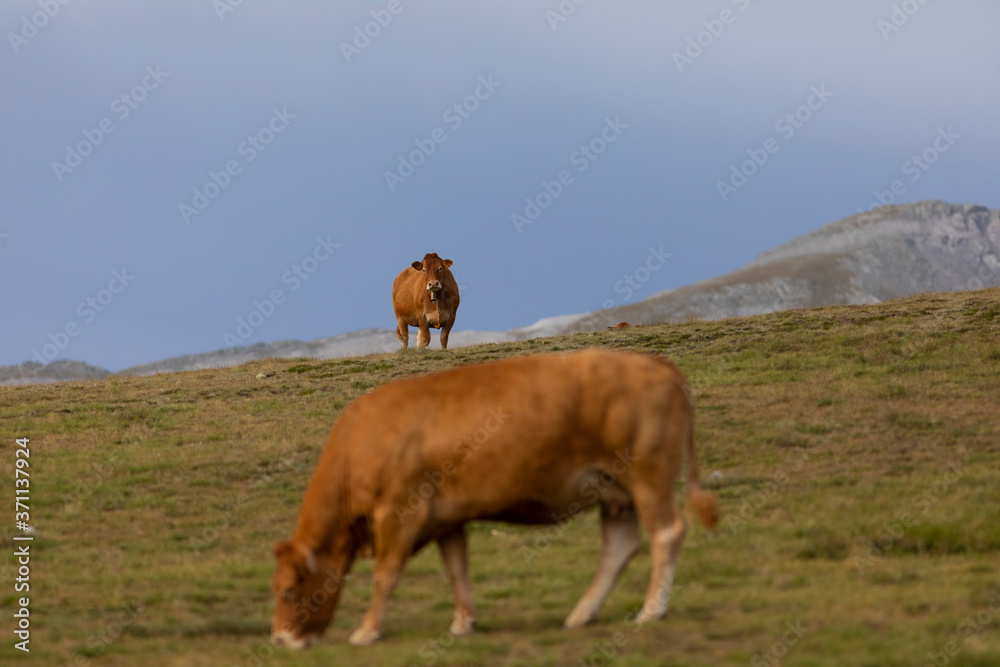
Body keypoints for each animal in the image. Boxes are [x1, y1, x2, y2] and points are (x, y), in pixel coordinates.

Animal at [270, 349, 718, 648]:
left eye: (289, 589)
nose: (279, 639)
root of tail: (655, 362)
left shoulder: (399, 512)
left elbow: (386, 575)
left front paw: (365, 631)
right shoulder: (446, 517)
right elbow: (457, 569)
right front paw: (463, 623)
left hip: (648, 477)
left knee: (667, 533)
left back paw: (651, 610)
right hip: (615, 493)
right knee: (619, 548)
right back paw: (580, 615)